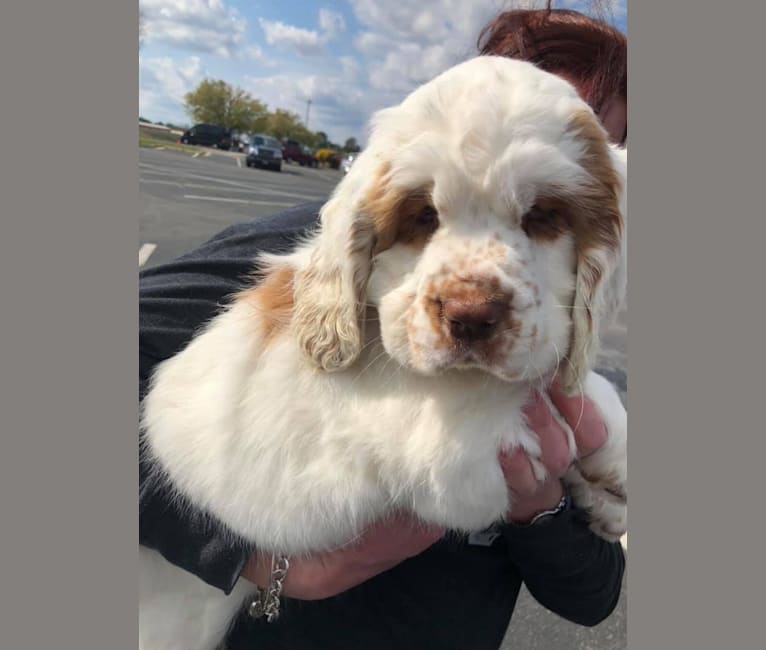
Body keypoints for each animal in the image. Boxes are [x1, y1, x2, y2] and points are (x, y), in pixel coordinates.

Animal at [140, 57, 632, 648]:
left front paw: (608, 489)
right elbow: (539, 414)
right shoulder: (452, 450)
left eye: (542, 216)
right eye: (422, 216)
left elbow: (580, 393)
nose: (471, 315)